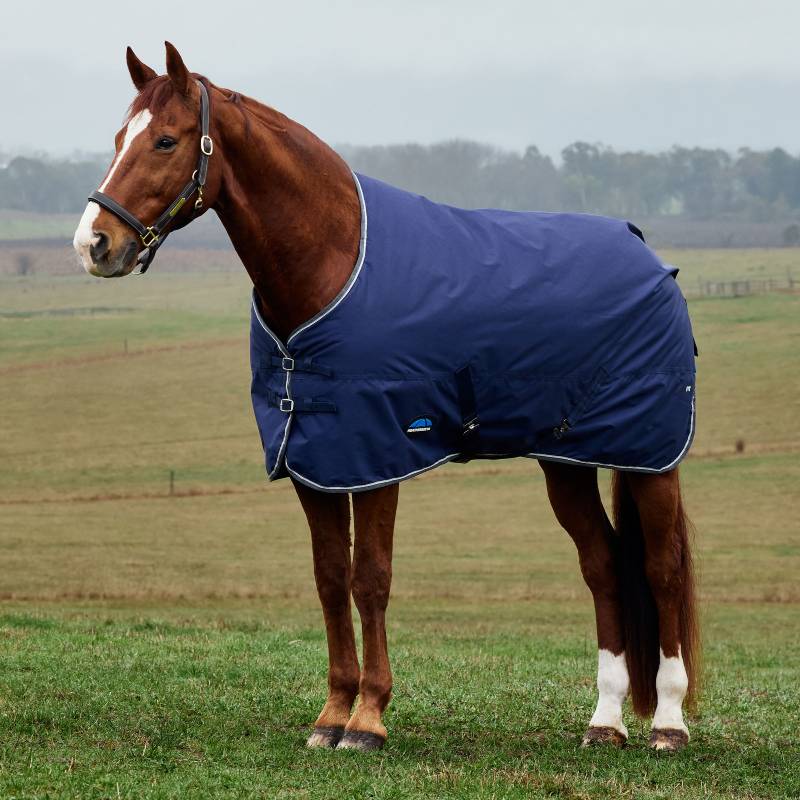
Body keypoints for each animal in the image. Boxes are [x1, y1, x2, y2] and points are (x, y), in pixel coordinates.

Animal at [73, 42, 699, 753]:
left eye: (166, 140)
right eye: (119, 137)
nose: (93, 244)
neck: (333, 262)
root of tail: (649, 258)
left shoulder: (377, 455)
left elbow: (370, 577)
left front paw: (368, 718)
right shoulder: (313, 459)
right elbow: (329, 578)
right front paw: (330, 715)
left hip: (650, 457)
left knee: (661, 568)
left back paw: (669, 723)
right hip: (566, 462)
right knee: (603, 565)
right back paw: (606, 720)